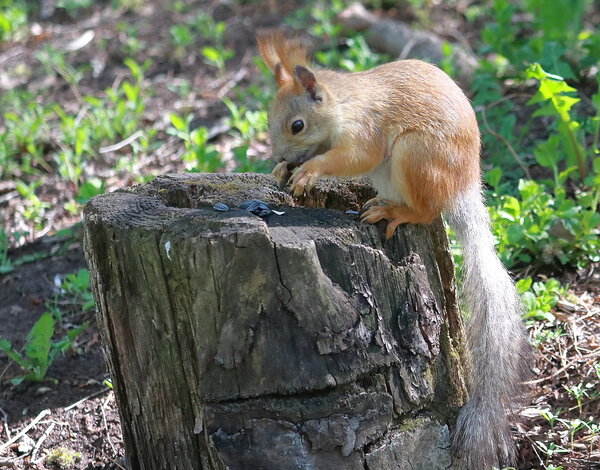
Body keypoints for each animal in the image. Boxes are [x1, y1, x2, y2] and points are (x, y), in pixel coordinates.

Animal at [258, 34, 528, 470]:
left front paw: (309, 170)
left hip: (416, 155)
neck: (341, 104)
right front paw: (283, 172)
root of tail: (462, 186)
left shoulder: (363, 129)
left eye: (297, 125)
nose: (282, 156)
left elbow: (355, 156)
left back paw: (396, 212)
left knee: (426, 210)